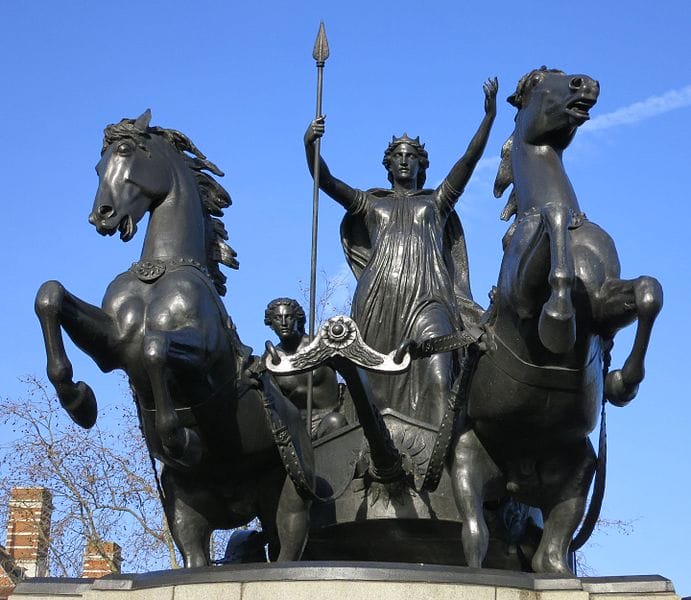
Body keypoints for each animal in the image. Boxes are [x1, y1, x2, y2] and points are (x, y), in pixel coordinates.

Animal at [35, 110, 310, 564]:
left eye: (125, 151)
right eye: (97, 165)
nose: (101, 216)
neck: (162, 270)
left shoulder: (203, 357)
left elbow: (155, 349)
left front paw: (178, 438)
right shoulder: (113, 345)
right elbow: (51, 296)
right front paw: (79, 401)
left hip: (288, 501)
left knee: (289, 549)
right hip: (186, 511)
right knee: (197, 555)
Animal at [452, 68, 664, 576]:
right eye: (537, 82)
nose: (585, 84)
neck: (574, 229)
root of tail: (517, 480)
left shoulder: (604, 302)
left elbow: (648, 291)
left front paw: (622, 382)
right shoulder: (521, 298)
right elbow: (552, 232)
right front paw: (558, 320)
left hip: (580, 471)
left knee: (551, 556)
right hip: (467, 461)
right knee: (475, 539)